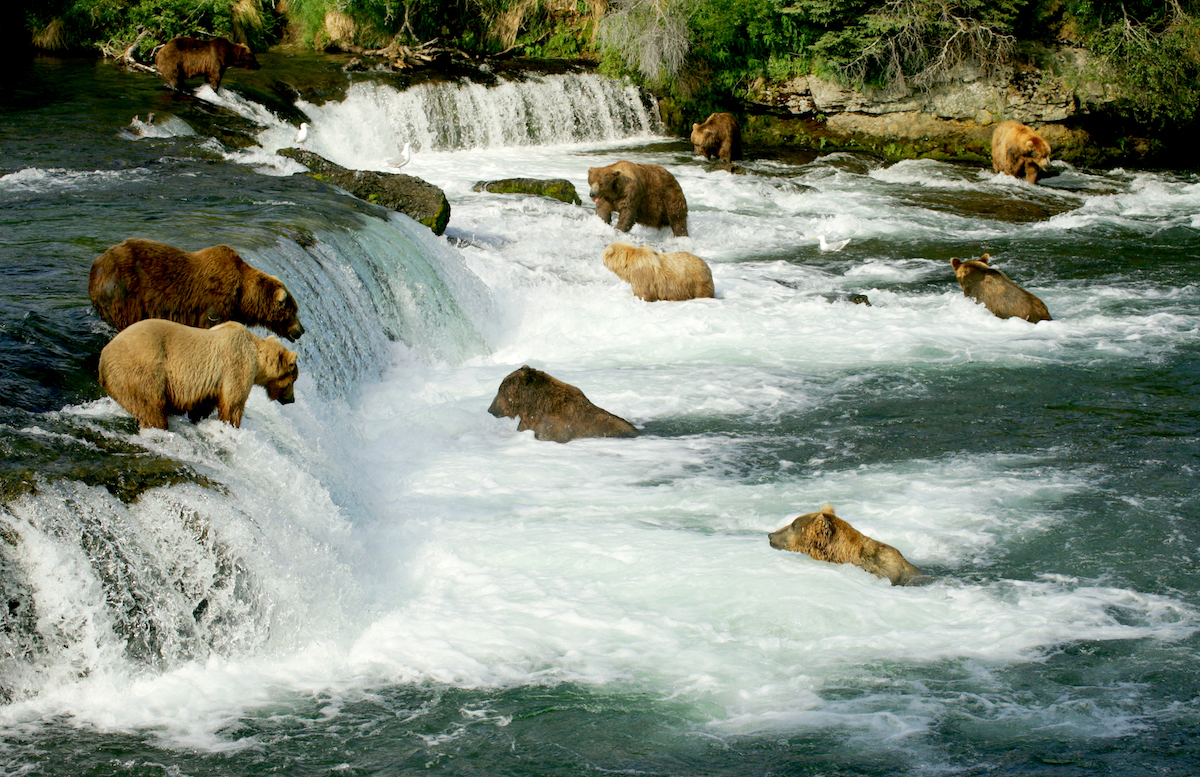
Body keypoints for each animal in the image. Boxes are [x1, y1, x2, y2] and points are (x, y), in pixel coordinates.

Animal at [89, 236, 304, 340]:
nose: (301, 330)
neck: (241, 296)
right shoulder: (214, 304)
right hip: (125, 292)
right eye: (293, 311)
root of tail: (97, 263)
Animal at [98, 321, 300, 434]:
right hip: (142, 369)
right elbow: (233, 403)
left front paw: (198, 418)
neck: (257, 357)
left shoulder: (212, 382)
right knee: (151, 406)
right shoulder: (237, 365)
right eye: (294, 380)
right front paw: (231, 425)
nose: (292, 399)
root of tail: (102, 359)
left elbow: (205, 404)